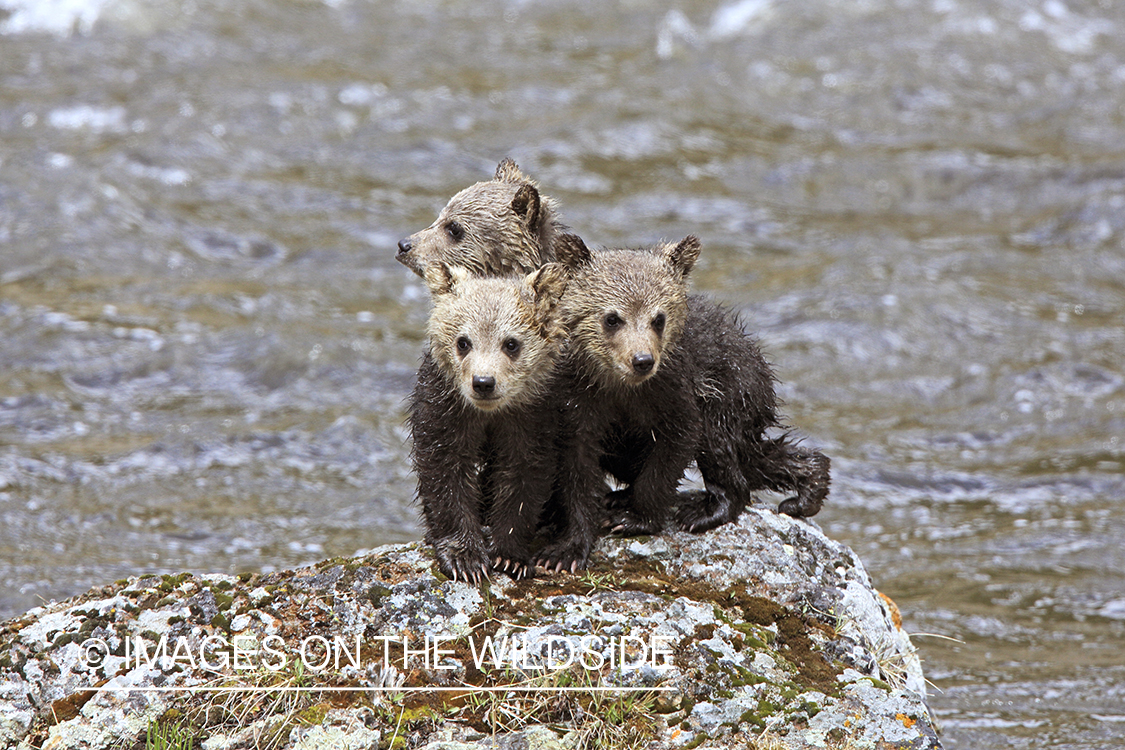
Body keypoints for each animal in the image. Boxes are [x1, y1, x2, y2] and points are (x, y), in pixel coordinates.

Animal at [409, 261, 570, 583]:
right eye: (463, 341)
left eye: (511, 343)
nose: (483, 382)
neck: (489, 413)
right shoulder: (447, 406)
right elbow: (444, 470)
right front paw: (465, 558)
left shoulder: (533, 414)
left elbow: (524, 473)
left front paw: (510, 557)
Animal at [535, 236, 831, 573]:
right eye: (612, 318)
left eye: (658, 318)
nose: (642, 360)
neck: (621, 386)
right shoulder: (579, 399)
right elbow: (577, 466)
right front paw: (565, 550)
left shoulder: (674, 390)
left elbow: (677, 445)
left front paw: (635, 518)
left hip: (732, 390)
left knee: (723, 448)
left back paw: (711, 510)